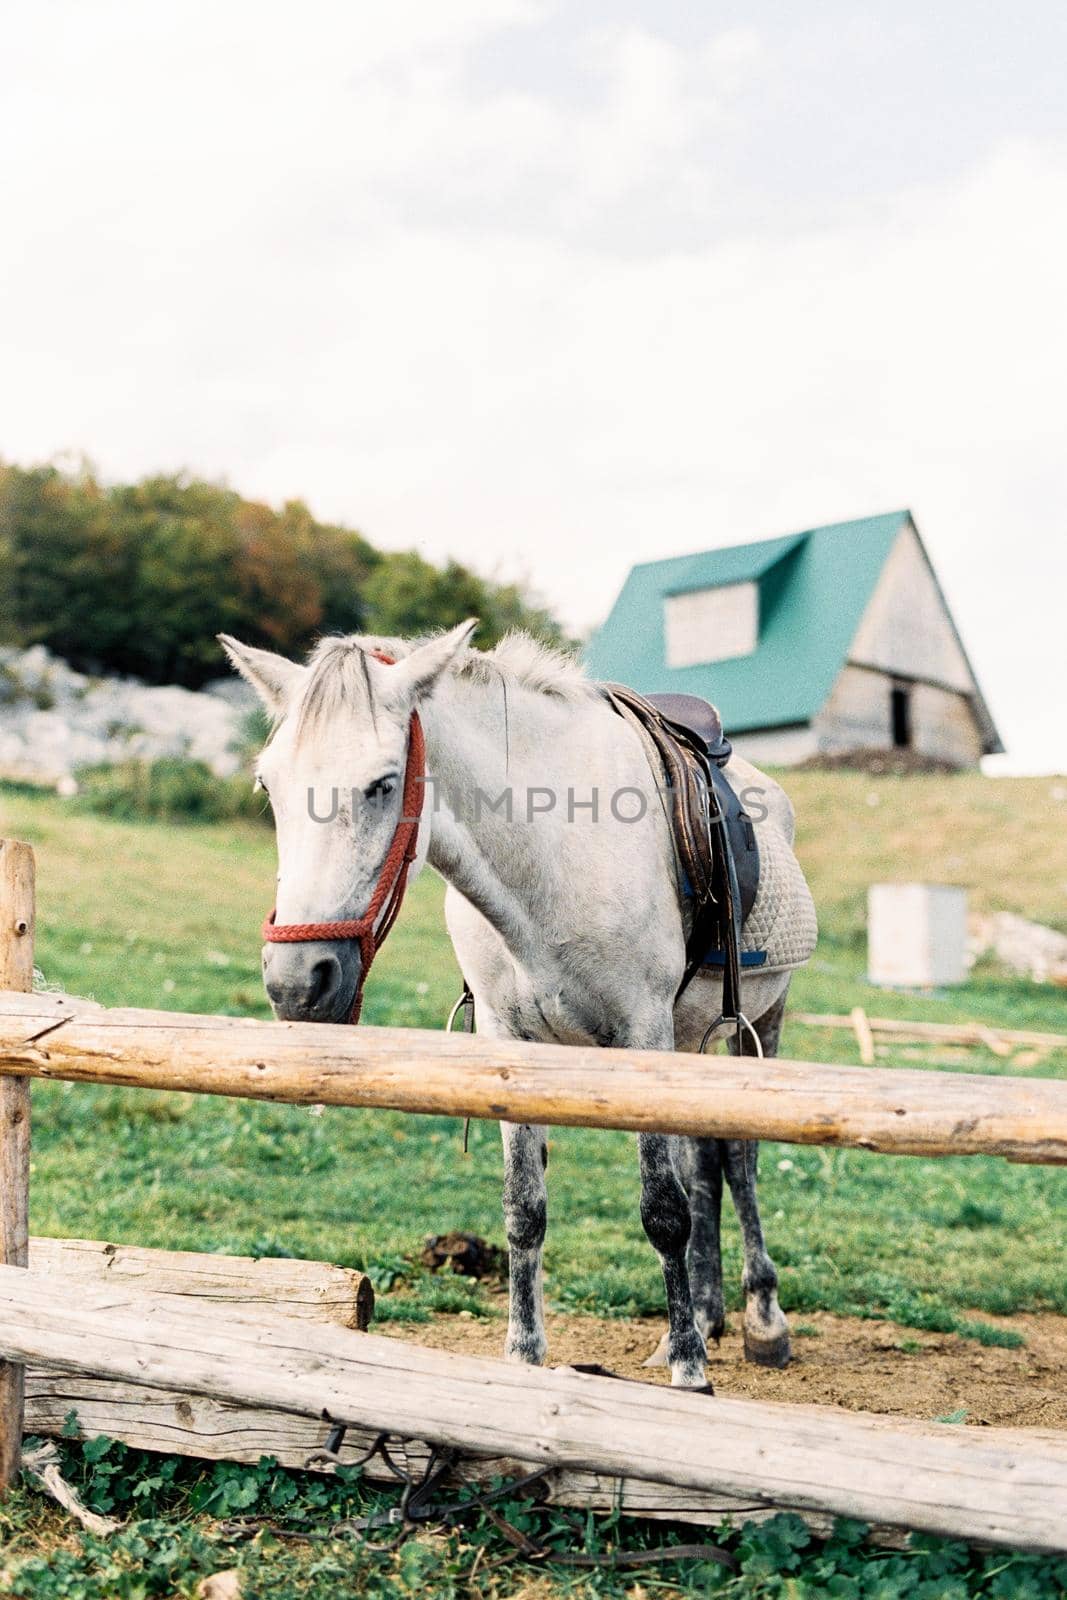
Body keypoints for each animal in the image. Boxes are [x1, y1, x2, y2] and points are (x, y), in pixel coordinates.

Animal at [219, 624, 819, 1388]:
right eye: (269, 785)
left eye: (383, 784)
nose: (298, 983)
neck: (551, 857)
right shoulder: (511, 1046)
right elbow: (524, 1210)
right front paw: (524, 1356)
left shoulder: (644, 1032)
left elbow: (663, 1211)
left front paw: (690, 1373)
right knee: (703, 1164)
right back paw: (708, 1316)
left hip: (760, 1022)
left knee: (737, 1161)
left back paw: (760, 1322)